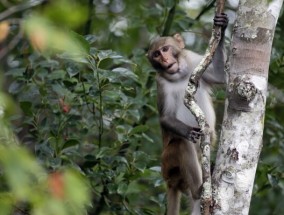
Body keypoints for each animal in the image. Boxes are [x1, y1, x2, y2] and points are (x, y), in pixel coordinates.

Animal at [148, 13, 227, 215]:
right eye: (156, 54)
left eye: (166, 49)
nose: (165, 60)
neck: (179, 75)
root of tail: (169, 182)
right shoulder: (161, 83)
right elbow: (166, 117)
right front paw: (188, 131)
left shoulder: (193, 60)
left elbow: (219, 76)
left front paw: (222, 26)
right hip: (168, 164)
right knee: (181, 145)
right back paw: (199, 190)